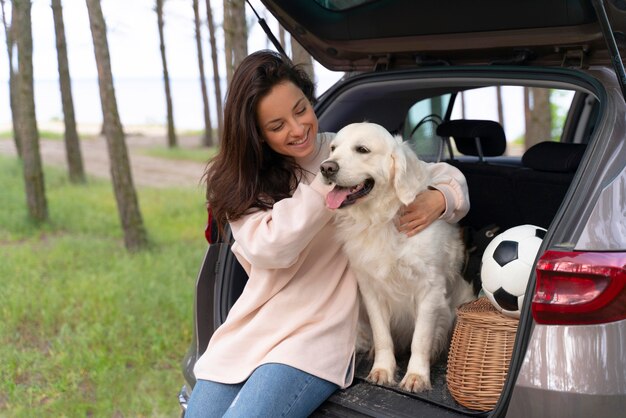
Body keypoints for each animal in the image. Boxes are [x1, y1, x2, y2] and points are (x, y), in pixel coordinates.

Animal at [322, 121, 472, 392]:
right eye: (333, 148)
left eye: (362, 149)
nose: (326, 167)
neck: (381, 219)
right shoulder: (370, 289)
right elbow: (382, 336)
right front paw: (383, 369)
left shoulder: (429, 289)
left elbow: (420, 339)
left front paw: (417, 376)